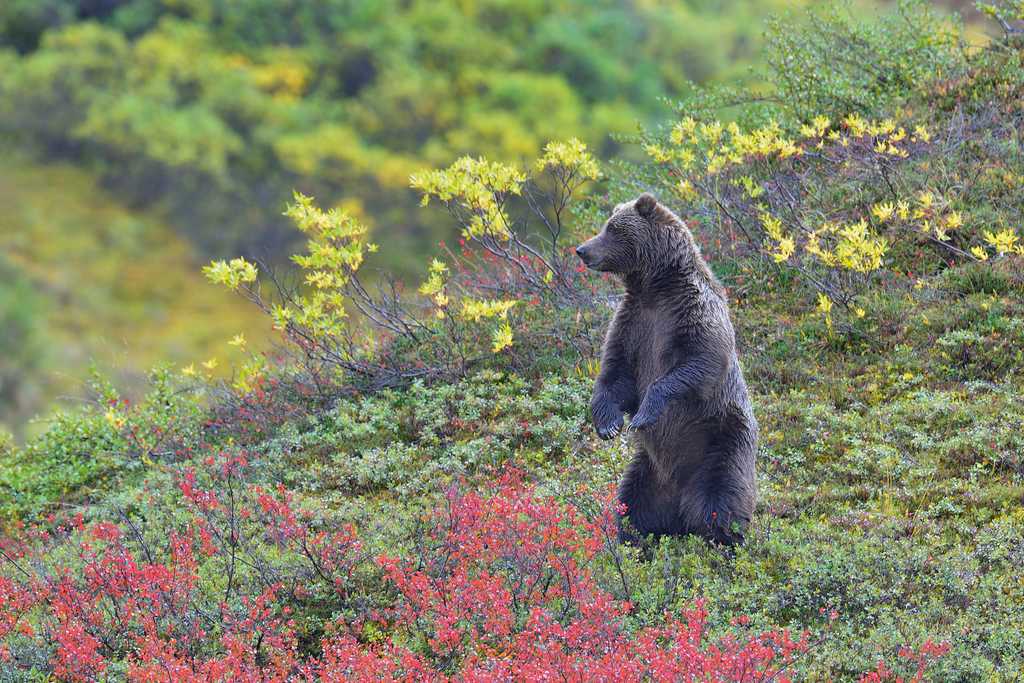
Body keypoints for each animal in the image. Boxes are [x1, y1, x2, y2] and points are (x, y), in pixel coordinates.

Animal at [577, 192, 761, 544]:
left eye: (613, 228)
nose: (582, 250)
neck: (656, 287)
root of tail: (679, 501)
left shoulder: (691, 313)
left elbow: (700, 362)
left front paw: (643, 414)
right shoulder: (633, 322)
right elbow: (616, 373)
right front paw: (608, 424)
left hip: (721, 442)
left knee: (722, 501)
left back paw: (725, 542)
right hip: (648, 471)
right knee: (632, 506)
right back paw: (634, 541)